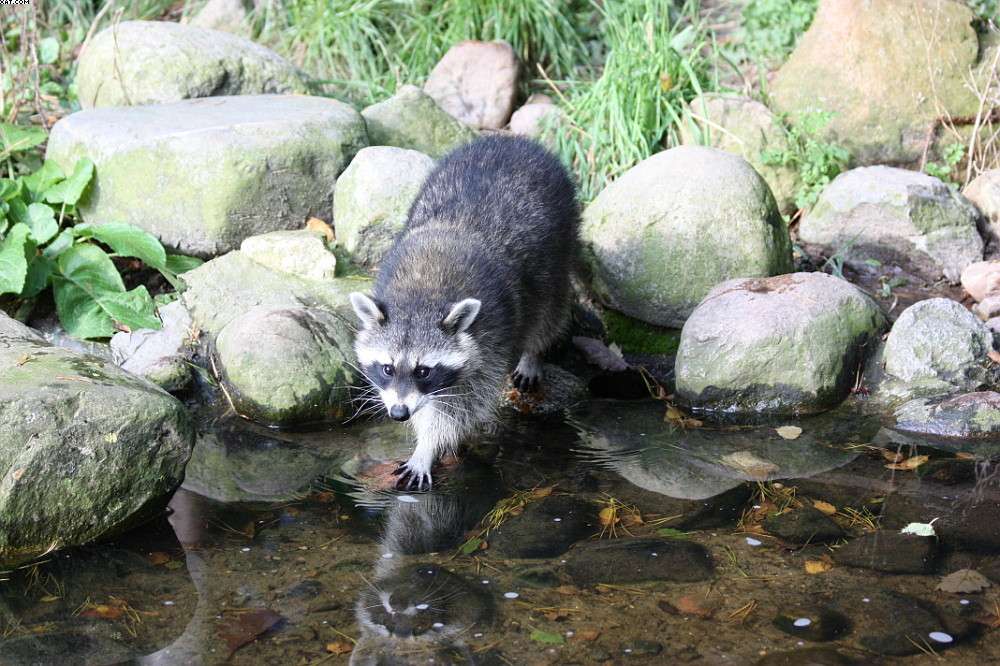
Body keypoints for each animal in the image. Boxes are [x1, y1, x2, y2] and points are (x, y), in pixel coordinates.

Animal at [352, 134, 584, 488]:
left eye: (424, 371)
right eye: (387, 368)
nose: (399, 414)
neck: (420, 297)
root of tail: (513, 140)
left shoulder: (490, 337)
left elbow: (462, 406)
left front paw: (427, 446)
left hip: (559, 243)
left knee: (549, 311)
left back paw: (534, 352)